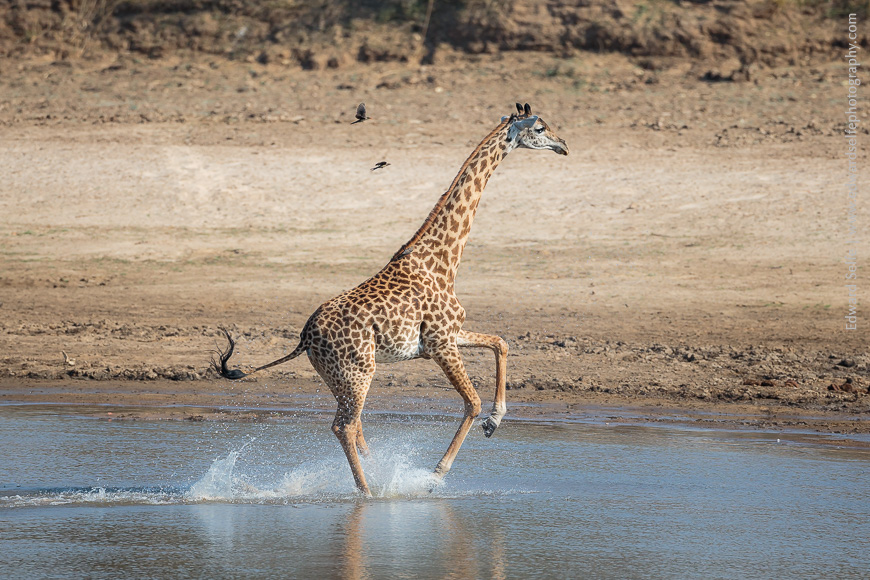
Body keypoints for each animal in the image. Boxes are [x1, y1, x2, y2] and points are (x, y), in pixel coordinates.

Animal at [213, 103, 569, 496]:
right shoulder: (442, 344)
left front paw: (494, 422)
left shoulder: (447, 336)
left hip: (338, 377)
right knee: (344, 426)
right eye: (540, 127)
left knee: (354, 426)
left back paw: (374, 477)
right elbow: (472, 403)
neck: (443, 260)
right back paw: (369, 492)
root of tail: (305, 337)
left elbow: (501, 343)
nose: (563, 145)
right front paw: (436, 474)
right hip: (358, 372)